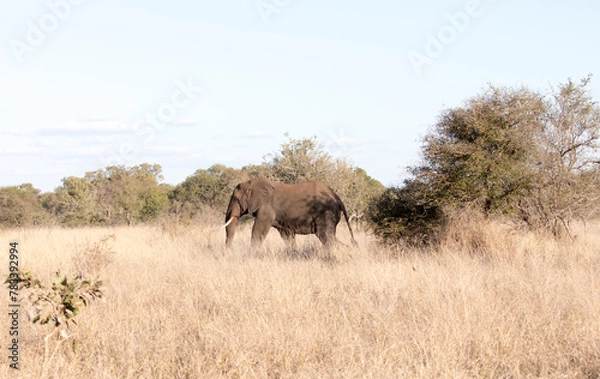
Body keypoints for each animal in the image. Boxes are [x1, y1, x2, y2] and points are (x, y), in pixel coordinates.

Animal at [224, 177, 356, 249]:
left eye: (235, 199)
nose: (229, 251)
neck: (251, 183)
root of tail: (337, 197)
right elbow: (287, 236)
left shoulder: (266, 209)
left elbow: (258, 230)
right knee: (328, 237)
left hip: (325, 212)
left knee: (326, 236)